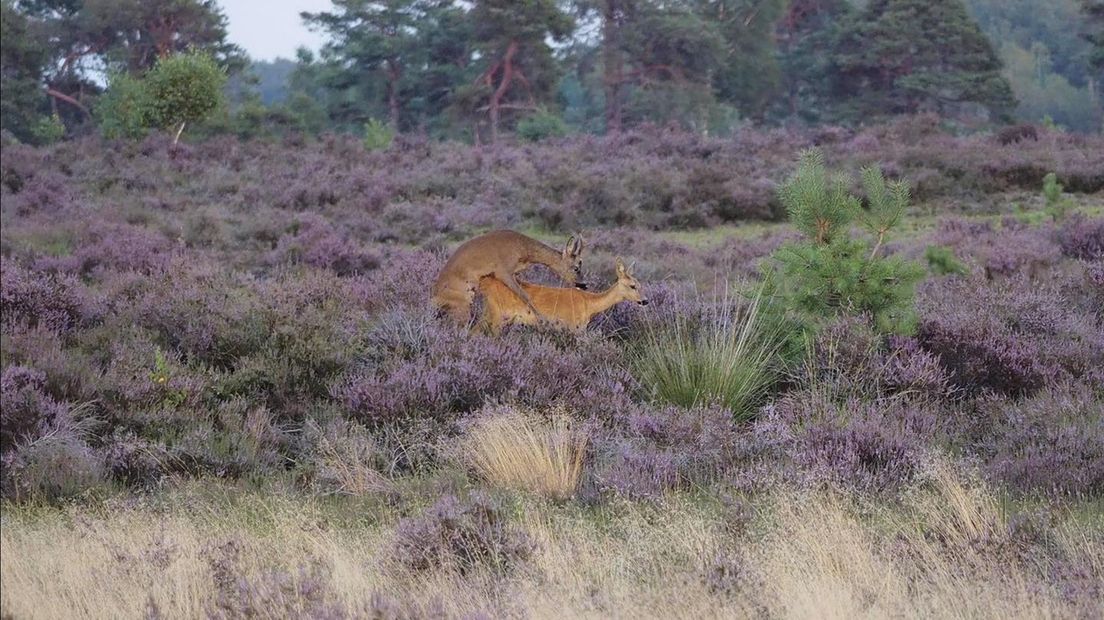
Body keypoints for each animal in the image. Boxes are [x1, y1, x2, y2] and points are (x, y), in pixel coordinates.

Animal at [430, 228, 587, 324]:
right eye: (576, 267)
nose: (583, 285)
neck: (522, 248)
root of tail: (434, 297)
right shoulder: (503, 272)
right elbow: (525, 296)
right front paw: (544, 320)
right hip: (462, 306)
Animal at [476, 255, 644, 333]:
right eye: (633, 286)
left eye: (640, 285)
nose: (645, 301)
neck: (588, 303)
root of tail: (486, 282)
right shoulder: (573, 327)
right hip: (495, 313)